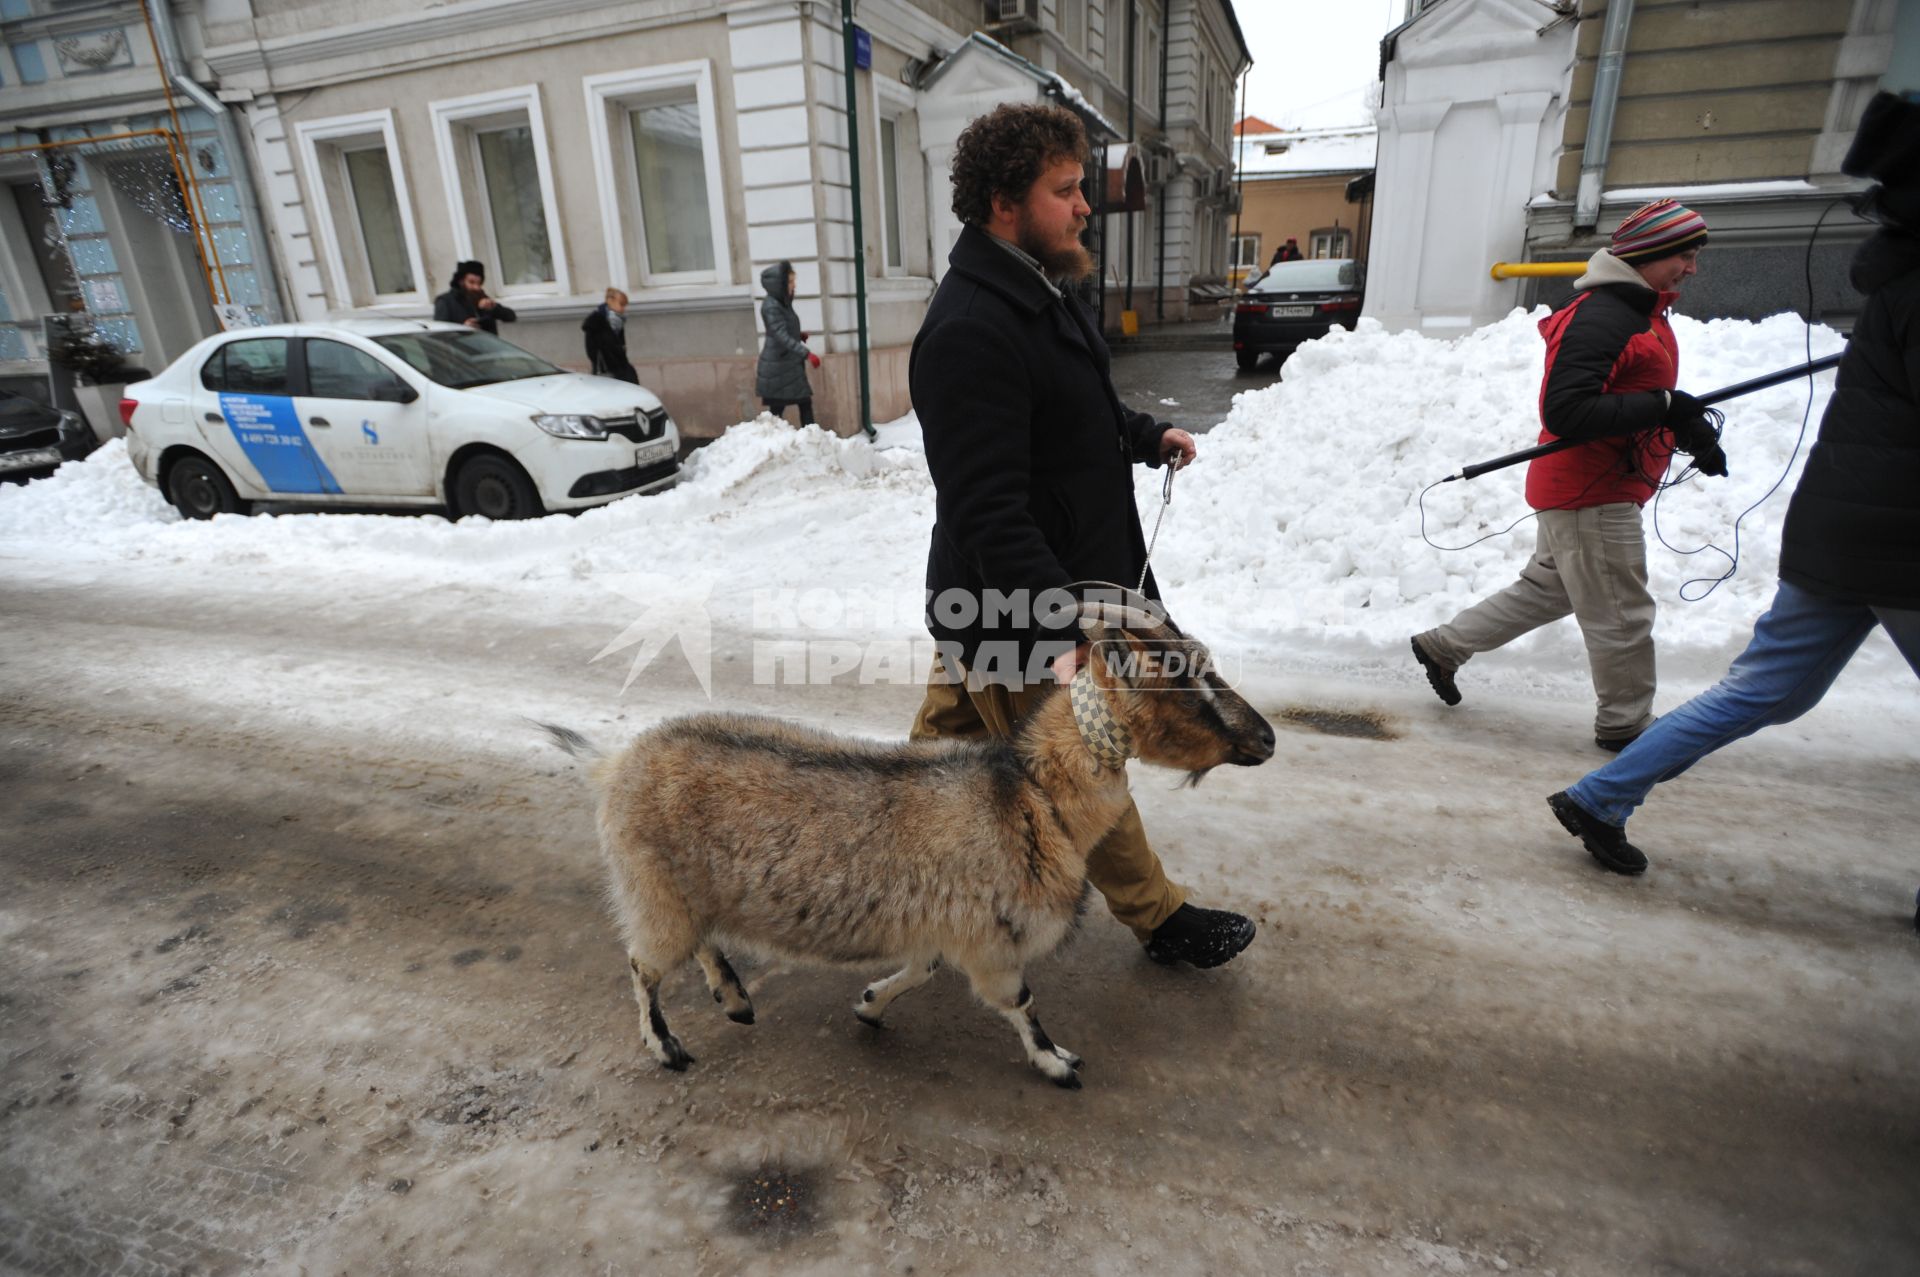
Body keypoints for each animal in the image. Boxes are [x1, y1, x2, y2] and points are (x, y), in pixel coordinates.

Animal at [541, 591, 1282, 1083]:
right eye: (1186, 679)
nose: (1270, 739)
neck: (1027, 790)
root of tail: (614, 763)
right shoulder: (990, 939)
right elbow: (1020, 1002)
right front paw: (1057, 1061)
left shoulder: (947, 921)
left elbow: (922, 969)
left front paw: (870, 1005)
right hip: (653, 887)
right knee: (644, 965)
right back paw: (668, 1047)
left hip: (685, 888)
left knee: (700, 943)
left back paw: (735, 997)